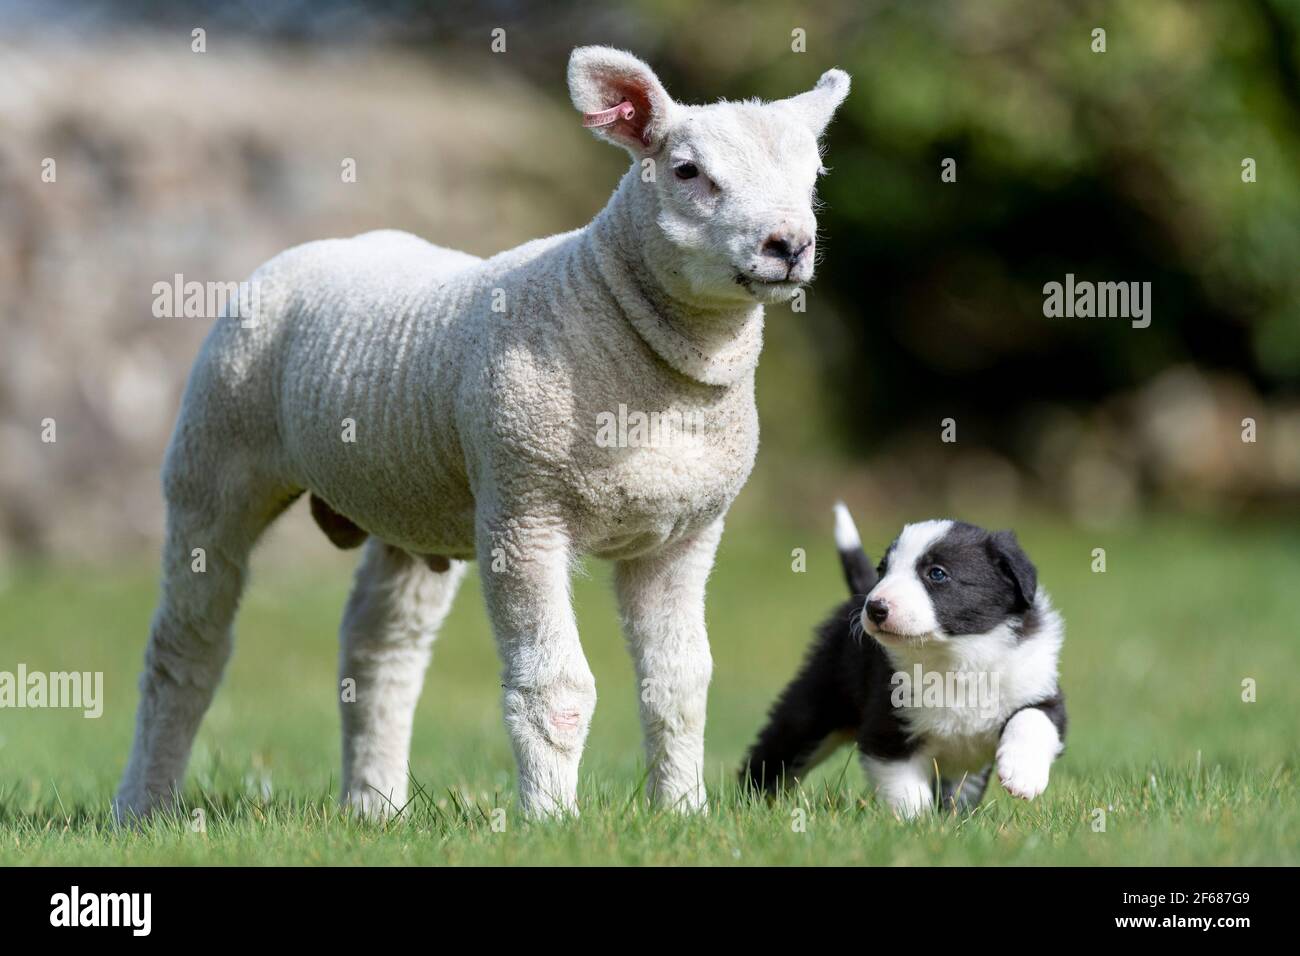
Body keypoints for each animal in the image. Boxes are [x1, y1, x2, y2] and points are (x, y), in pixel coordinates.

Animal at [116, 46, 852, 822]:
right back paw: (144, 806)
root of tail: (323, 245)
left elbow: (680, 684)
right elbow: (556, 686)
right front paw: (552, 819)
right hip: (212, 459)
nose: (789, 245)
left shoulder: (684, 535)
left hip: (406, 501)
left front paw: (682, 813)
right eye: (687, 171)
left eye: (814, 176)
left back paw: (375, 805)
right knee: (185, 650)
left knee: (379, 650)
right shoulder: (525, 514)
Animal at [743, 504, 1066, 816]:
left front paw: (1023, 776)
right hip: (817, 704)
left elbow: (1033, 718)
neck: (956, 657)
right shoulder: (889, 726)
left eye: (937, 573)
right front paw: (916, 824)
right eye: (882, 569)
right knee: (776, 749)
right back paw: (752, 803)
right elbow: (905, 786)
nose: (875, 608)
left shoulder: (1040, 688)